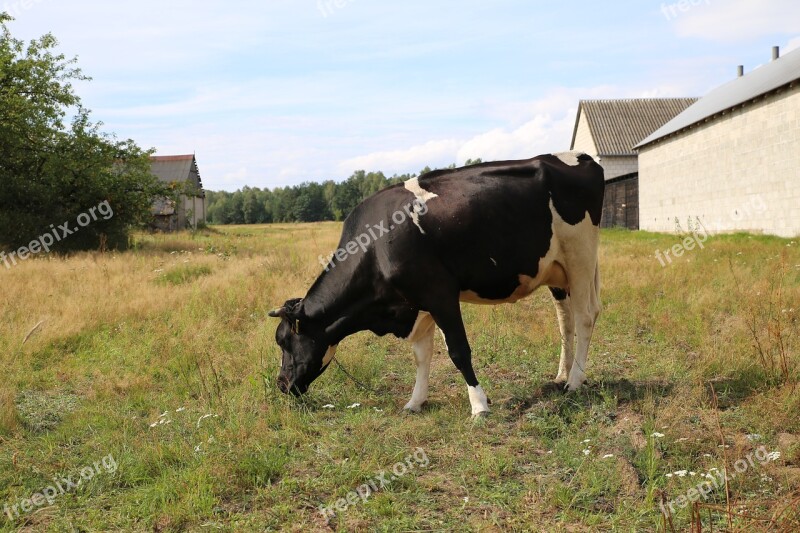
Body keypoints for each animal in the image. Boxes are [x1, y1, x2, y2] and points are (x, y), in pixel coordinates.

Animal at [268, 150, 600, 416]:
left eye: (283, 341)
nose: (281, 384)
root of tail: (581, 156)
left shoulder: (440, 295)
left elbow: (458, 351)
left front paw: (479, 405)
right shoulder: (417, 303)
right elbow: (421, 355)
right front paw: (415, 402)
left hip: (580, 257)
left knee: (585, 317)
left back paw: (574, 381)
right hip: (555, 271)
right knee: (566, 321)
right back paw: (562, 374)